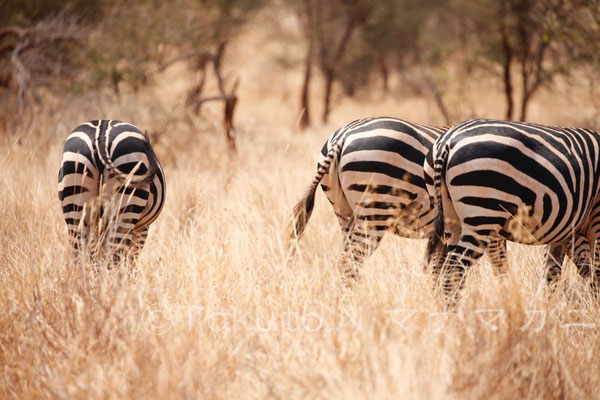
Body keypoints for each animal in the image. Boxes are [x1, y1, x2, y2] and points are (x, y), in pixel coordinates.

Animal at [57, 119, 165, 262]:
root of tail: (101, 134)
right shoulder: (142, 230)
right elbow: (131, 260)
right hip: (124, 204)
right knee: (114, 257)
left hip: (76, 197)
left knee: (80, 254)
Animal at [288, 115, 508, 280]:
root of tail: (342, 136)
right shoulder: (489, 219)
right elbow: (499, 266)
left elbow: (440, 271)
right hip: (375, 210)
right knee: (350, 263)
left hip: (345, 213)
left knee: (347, 260)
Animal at [424, 117, 600, 298]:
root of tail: (448, 140)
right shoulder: (595, 219)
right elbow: (594, 269)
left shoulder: (563, 230)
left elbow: (552, 273)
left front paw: (544, 303)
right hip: (482, 214)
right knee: (454, 270)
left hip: (452, 219)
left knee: (448, 268)